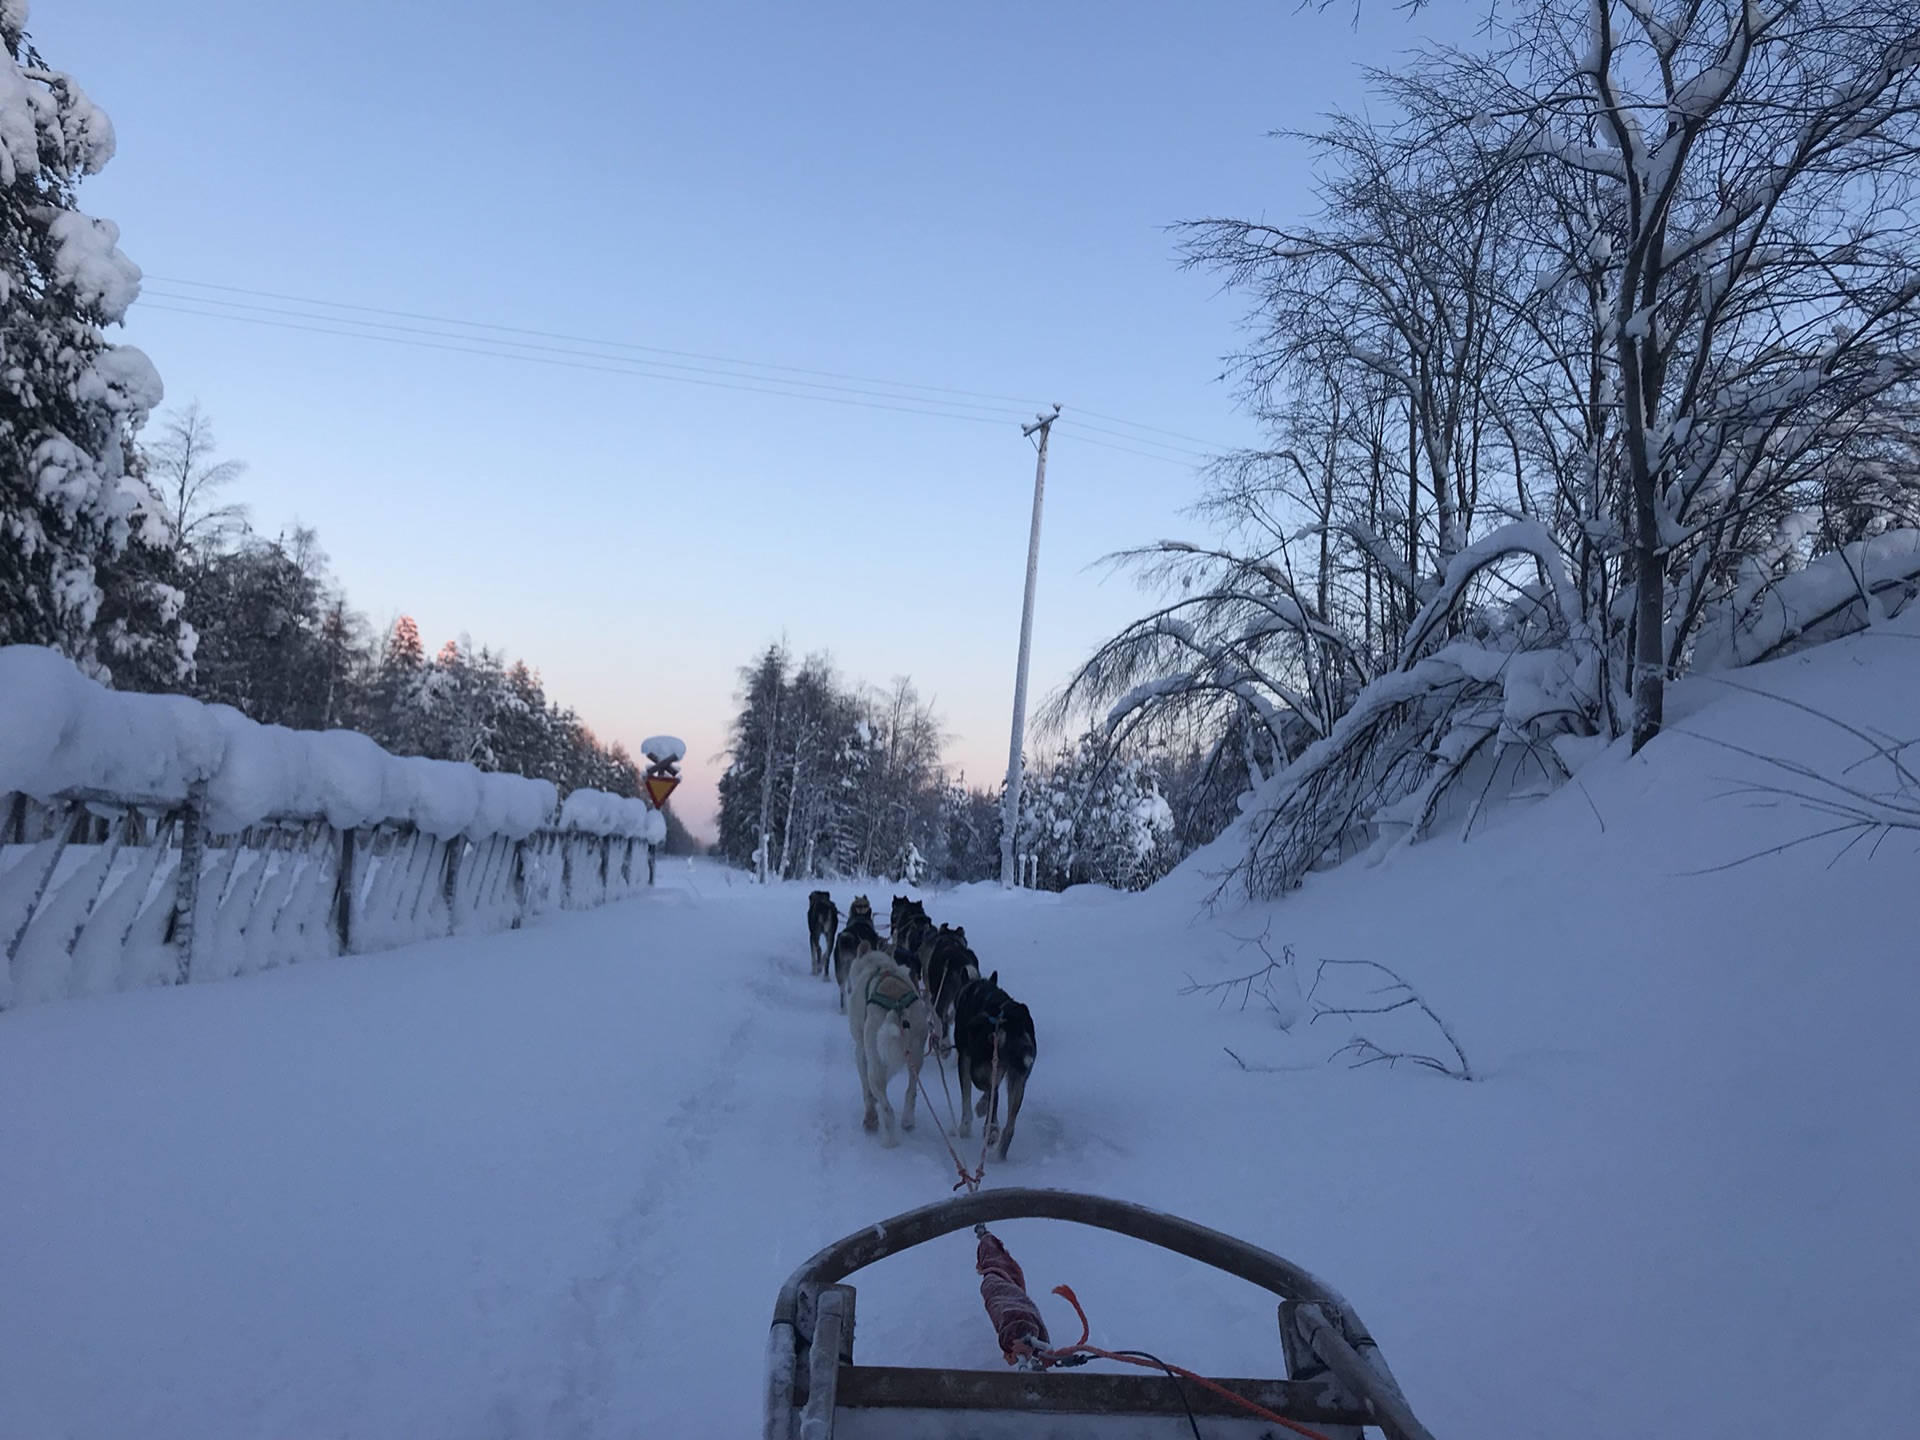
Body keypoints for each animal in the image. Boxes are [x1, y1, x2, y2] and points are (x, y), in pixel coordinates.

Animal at [844, 948, 925, 1152]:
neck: (878, 964)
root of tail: (897, 1008)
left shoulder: (862, 1052)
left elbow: (867, 1092)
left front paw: (870, 1114)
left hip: (875, 1065)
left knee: (887, 1109)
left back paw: (886, 1136)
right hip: (916, 1057)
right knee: (911, 1091)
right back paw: (907, 1121)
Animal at [948, 971, 1029, 1159]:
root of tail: (1012, 1020)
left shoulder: (965, 1060)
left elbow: (966, 1099)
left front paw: (964, 1128)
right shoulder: (999, 1069)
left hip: (977, 1068)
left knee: (994, 1095)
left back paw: (990, 1127)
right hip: (1017, 1080)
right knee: (1009, 1127)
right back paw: (998, 1154)